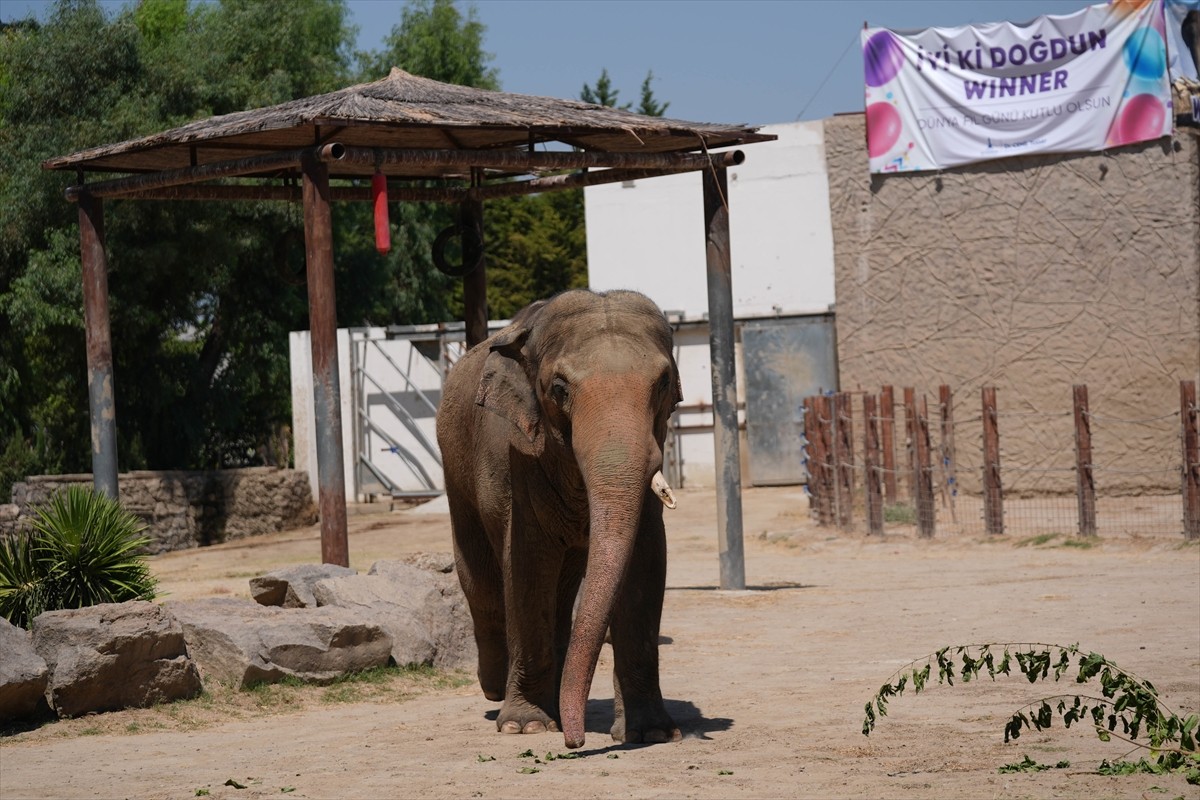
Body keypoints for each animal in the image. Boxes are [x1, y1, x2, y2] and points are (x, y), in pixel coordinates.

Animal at [439, 289, 686, 753]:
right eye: (559, 389)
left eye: (663, 384)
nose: (576, 742)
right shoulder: (516, 458)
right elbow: (526, 567)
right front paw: (526, 727)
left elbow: (645, 565)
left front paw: (653, 732)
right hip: (454, 471)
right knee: (480, 580)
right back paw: (495, 689)